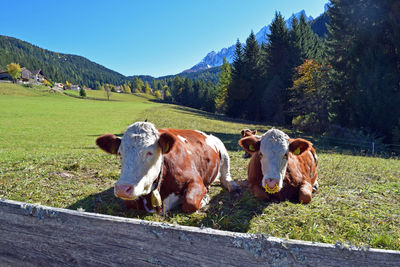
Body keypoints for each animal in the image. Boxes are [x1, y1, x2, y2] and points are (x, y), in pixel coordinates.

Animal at [97, 122, 241, 215]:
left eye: (150, 152)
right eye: (120, 153)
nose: (122, 189)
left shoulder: (195, 180)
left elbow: (189, 202)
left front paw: (204, 198)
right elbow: (131, 203)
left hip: (223, 150)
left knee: (225, 177)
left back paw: (233, 187)